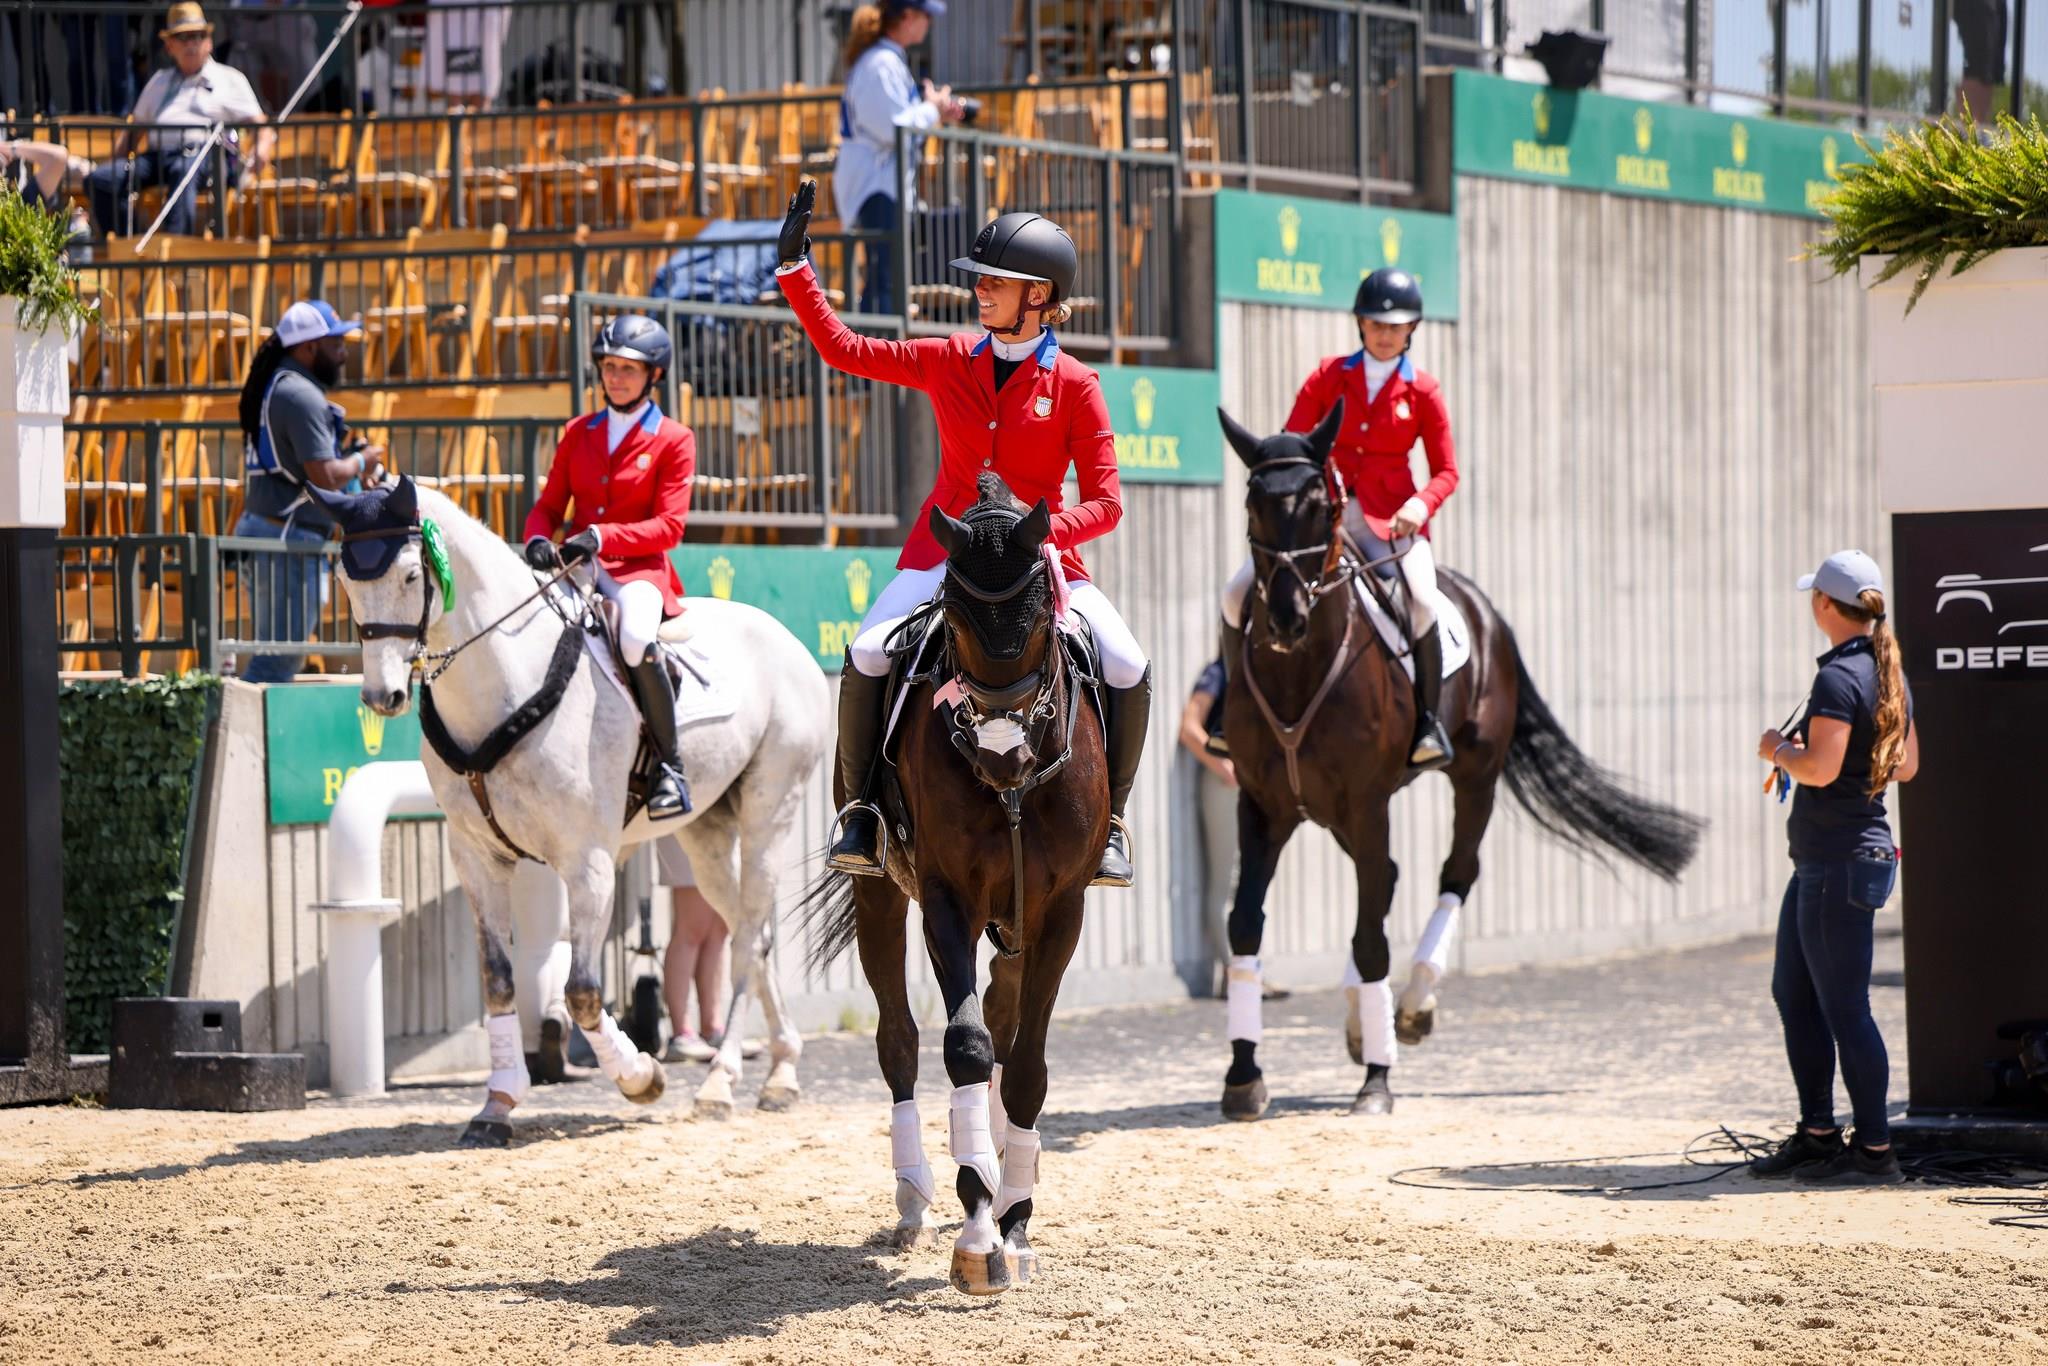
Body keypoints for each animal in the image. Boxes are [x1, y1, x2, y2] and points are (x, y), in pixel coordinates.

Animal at [315, 479, 827, 1146]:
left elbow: (582, 991)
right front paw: (497, 1104)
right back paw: (782, 1072)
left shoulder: (588, 863)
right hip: (707, 834)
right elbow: (499, 980)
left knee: (744, 941)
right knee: (753, 931)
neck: (506, 683)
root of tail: (785, 637)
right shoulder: (477, 859)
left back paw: (719, 1083)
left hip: (772, 811)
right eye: (344, 580)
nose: (384, 696)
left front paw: (641, 1077)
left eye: (408, 575)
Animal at [806, 475, 1114, 1302]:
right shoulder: (947, 900)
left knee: (1006, 1024)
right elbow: (967, 1048)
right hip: (881, 896)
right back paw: (914, 1194)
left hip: (1018, 927)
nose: (1002, 753)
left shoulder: (1062, 912)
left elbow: (1028, 1068)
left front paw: (1015, 1218)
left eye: (1039, 616)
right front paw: (979, 1235)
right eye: (955, 613)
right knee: (900, 1041)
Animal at [1212, 403, 1695, 1122]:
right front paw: (1243, 1075)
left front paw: (1377, 1081)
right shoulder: (1263, 806)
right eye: (1254, 503)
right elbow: (1246, 926)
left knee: (1453, 873)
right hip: (1341, 812)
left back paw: (1410, 1006)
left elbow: (1370, 937)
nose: (1286, 616)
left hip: (1472, 777)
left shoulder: (1365, 802)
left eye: (1321, 503)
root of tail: (1483, 606)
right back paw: (1366, 1018)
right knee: (1385, 879)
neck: (1299, 670)